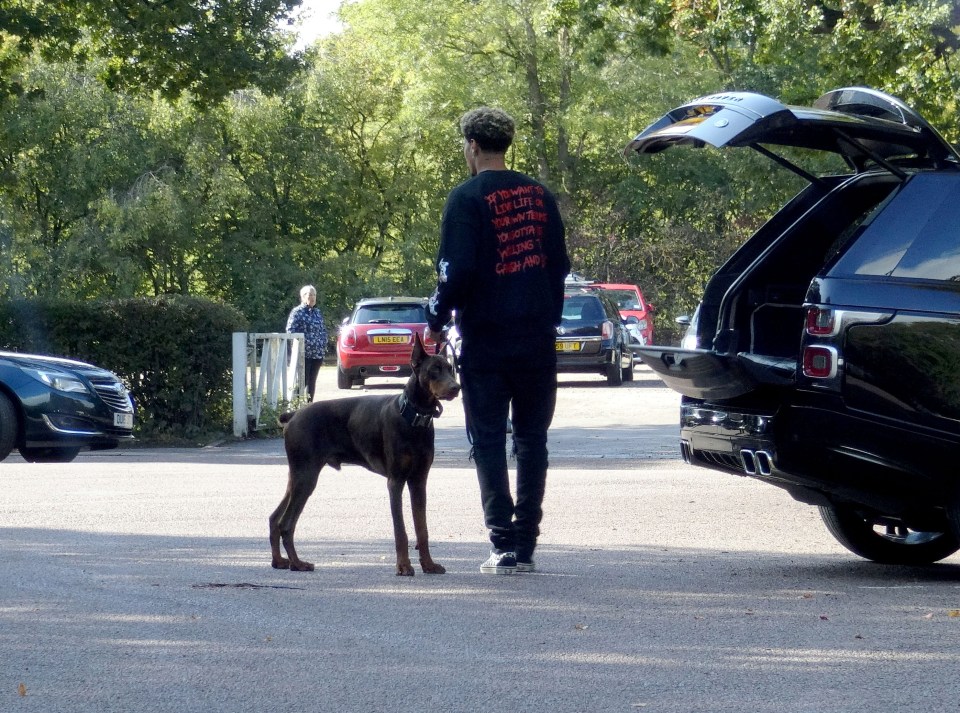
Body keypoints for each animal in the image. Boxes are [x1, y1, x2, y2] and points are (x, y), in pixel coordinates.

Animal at [268, 334, 460, 572]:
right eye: (434, 369)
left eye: (450, 368)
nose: (456, 387)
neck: (414, 417)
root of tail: (293, 415)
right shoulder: (395, 481)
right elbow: (401, 530)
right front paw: (403, 566)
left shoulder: (419, 480)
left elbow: (422, 528)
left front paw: (429, 564)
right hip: (306, 475)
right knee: (286, 523)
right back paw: (297, 563)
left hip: (297, 477)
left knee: (274, 518)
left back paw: (279, 560)